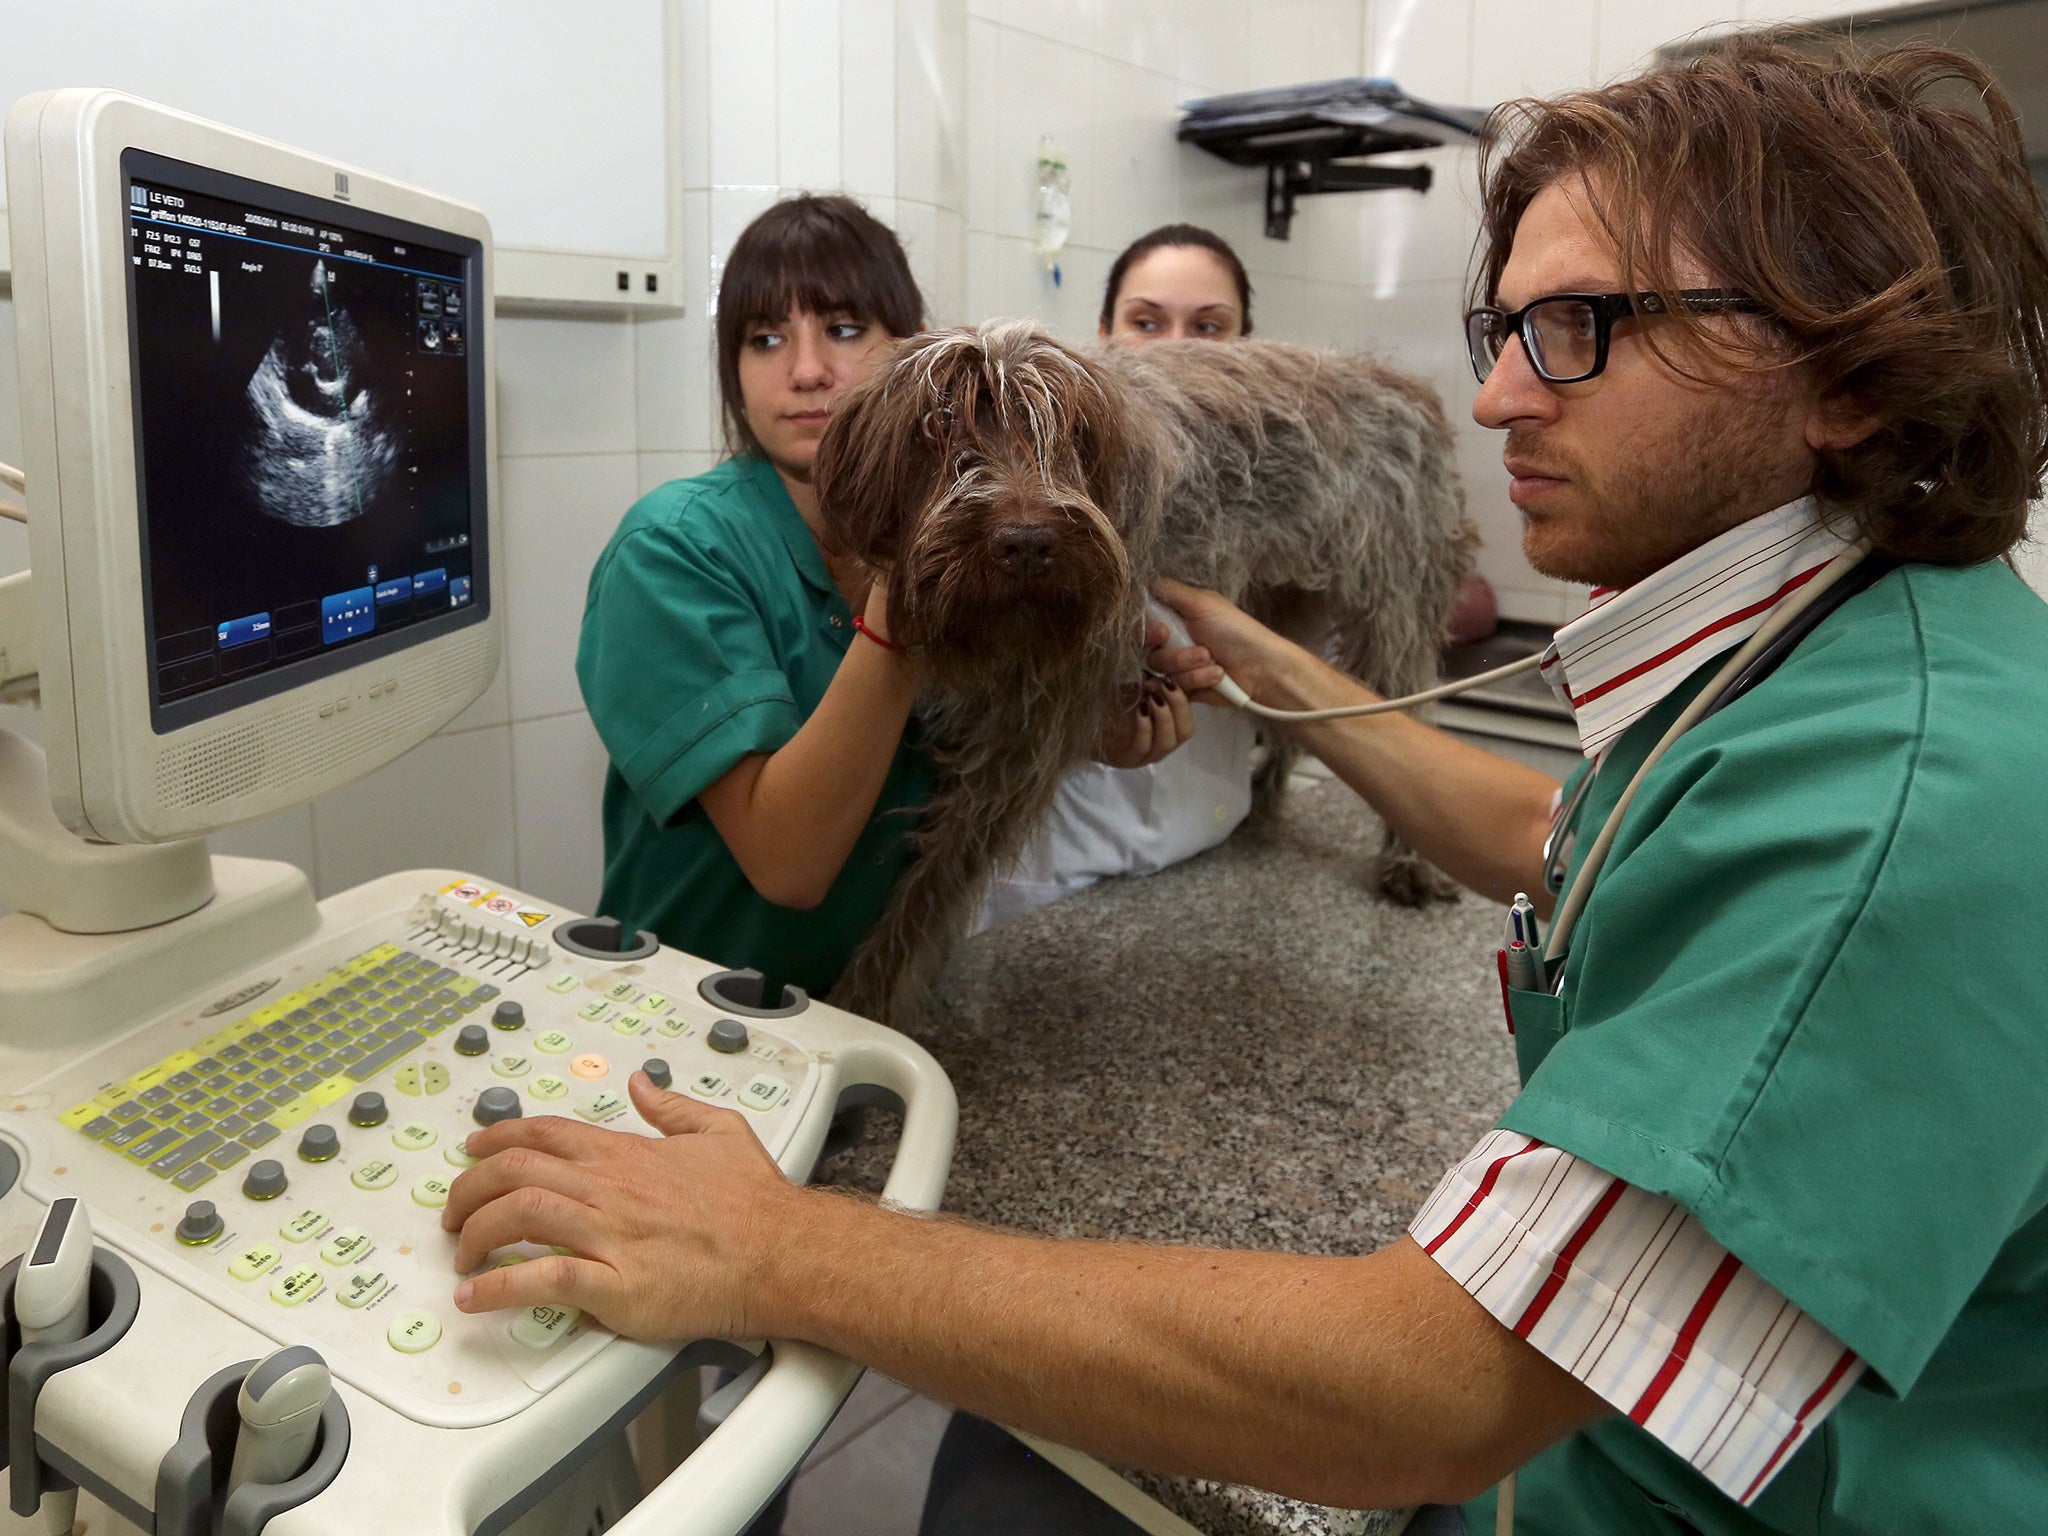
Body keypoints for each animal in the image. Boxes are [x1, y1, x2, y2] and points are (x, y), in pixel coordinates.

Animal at [815, 325, 1474, 1024]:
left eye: (1075, 434)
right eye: (940, 423)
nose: (1027, 542)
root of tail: (1400, 383)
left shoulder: (1030, 733)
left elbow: (936, 884)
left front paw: (864, 1002)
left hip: (1395, 606)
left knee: (1402, 722)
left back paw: (1405, 857)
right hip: (1280, 606)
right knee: (1297, 718)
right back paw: (1266, 797)